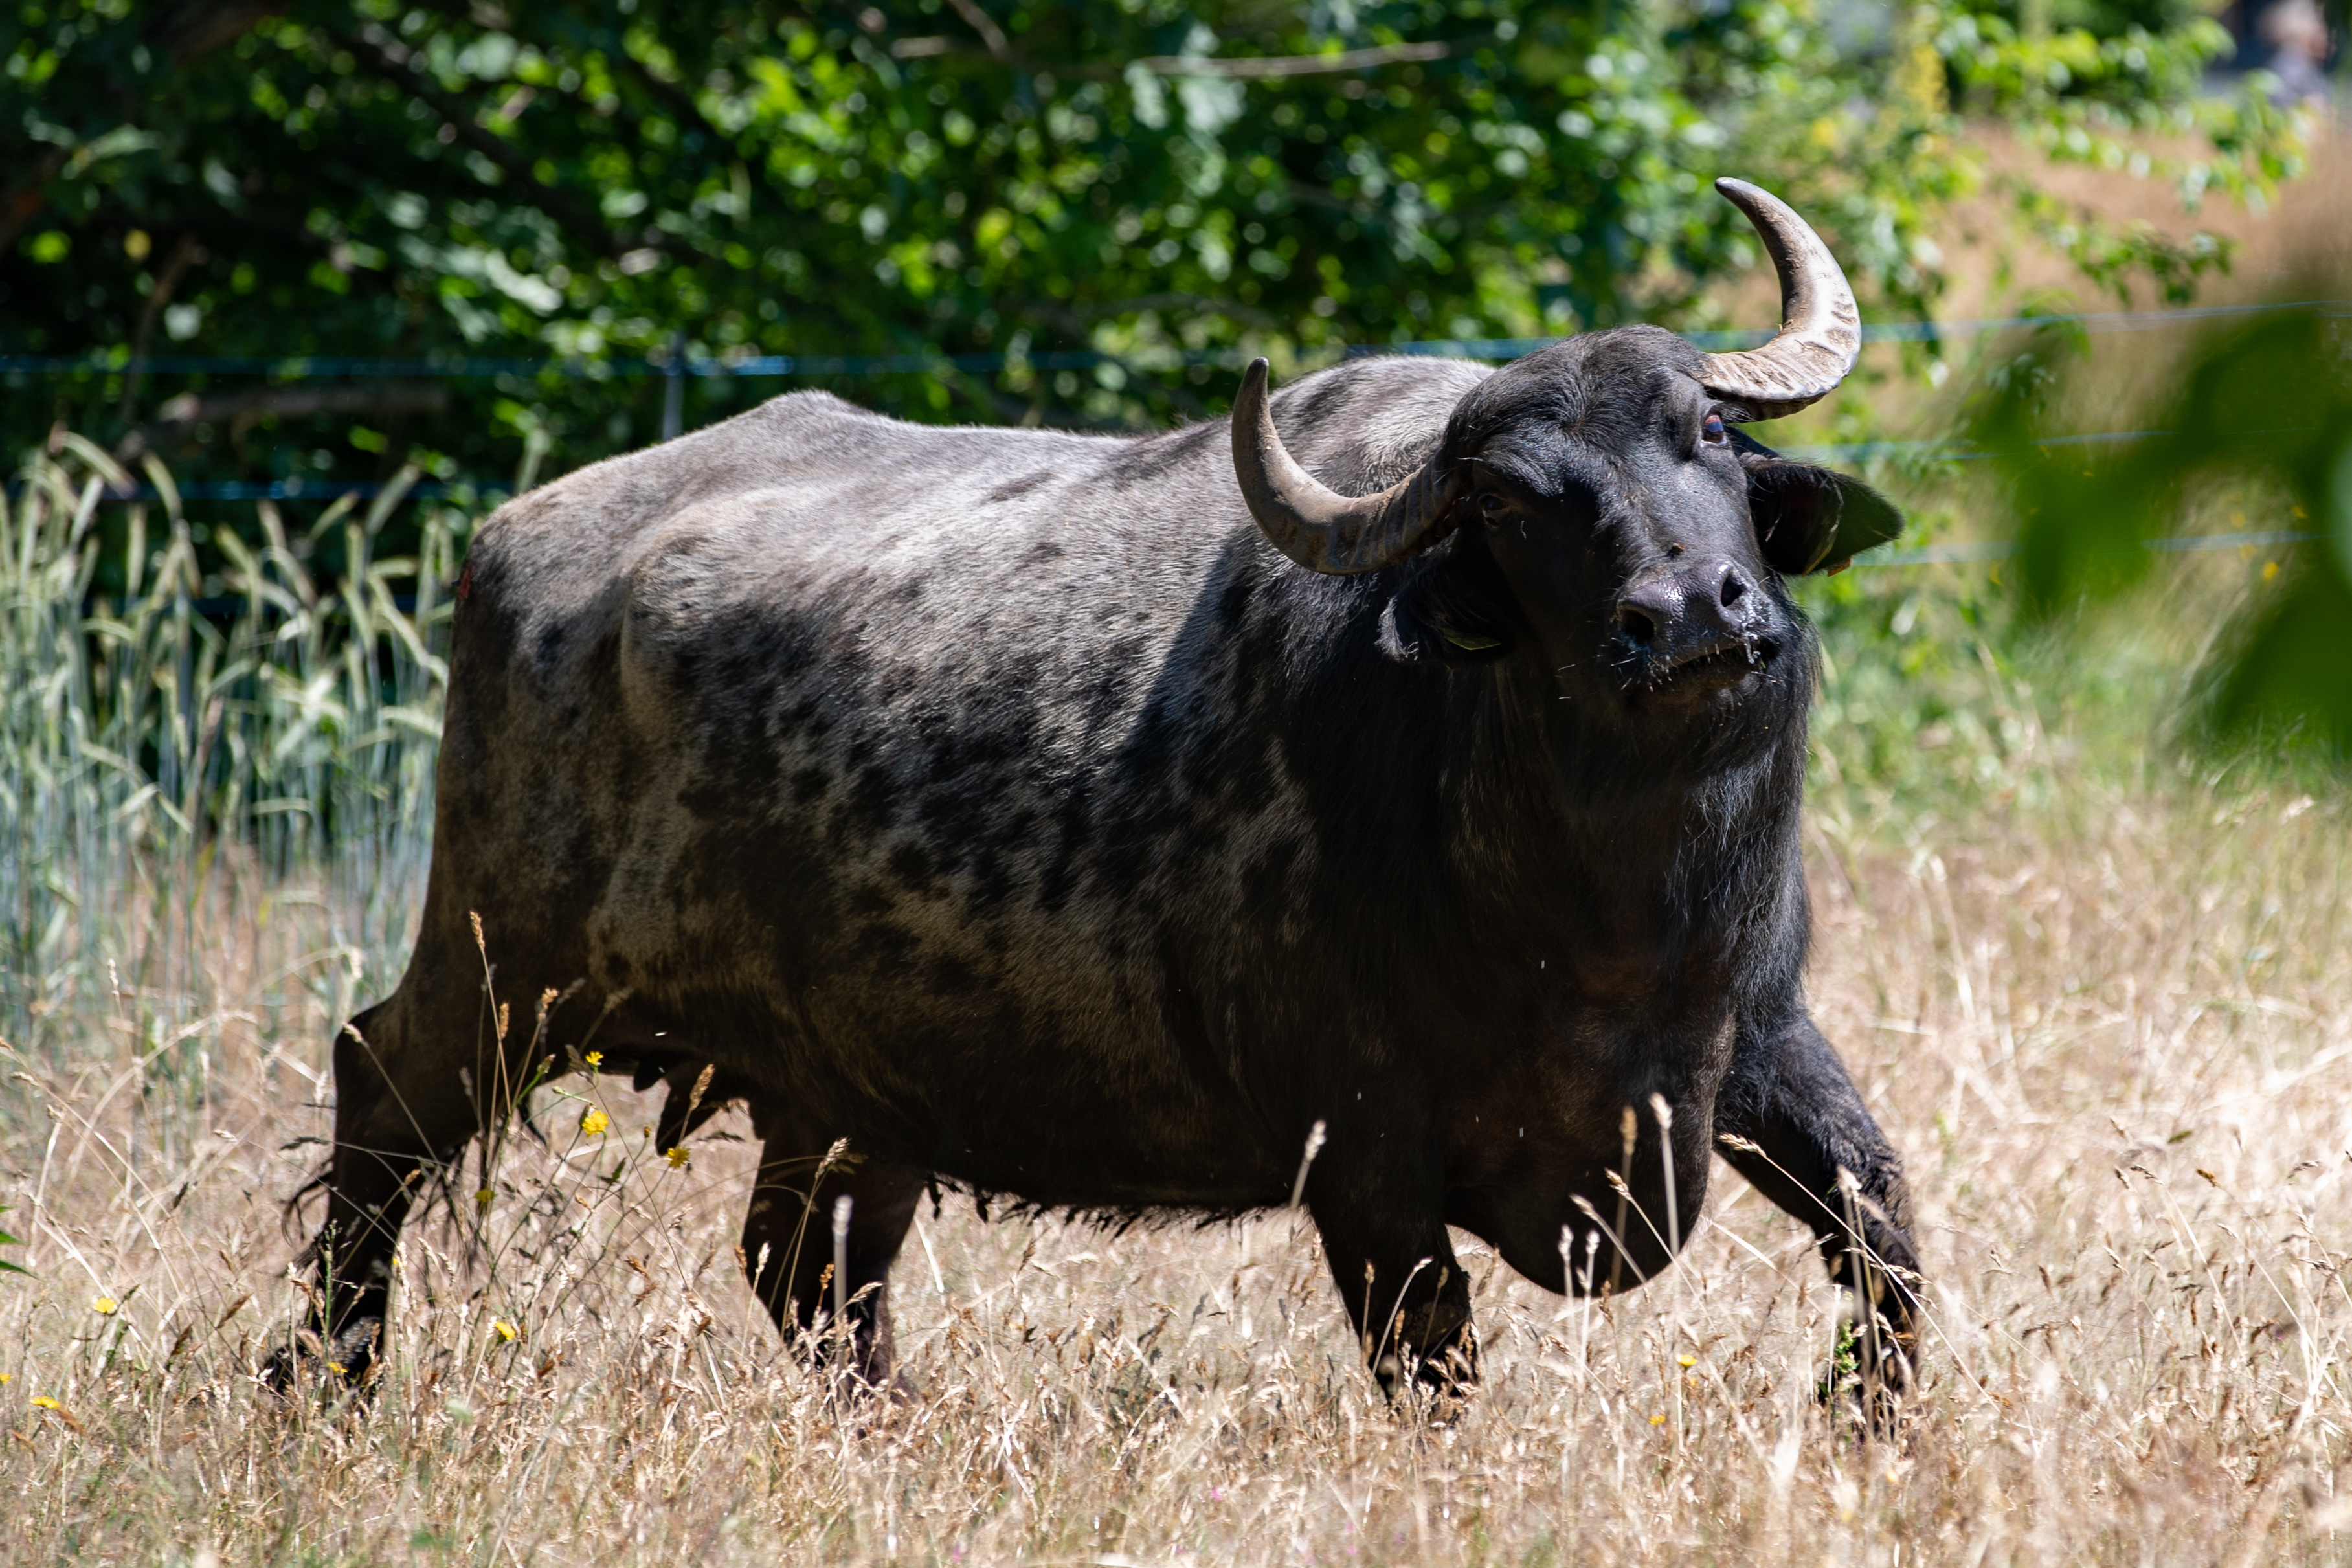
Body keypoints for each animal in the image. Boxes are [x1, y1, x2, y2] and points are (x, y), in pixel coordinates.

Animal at [284, 177, 1919, 1401]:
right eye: (1516, 509)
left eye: (1708, 434)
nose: (1688, 612)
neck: (1609, 908)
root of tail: (517, 546)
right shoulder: (1362, 1157)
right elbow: (1433, 1355)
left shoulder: (1760, 1039)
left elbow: (1884, 1227)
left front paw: (1868, 1422)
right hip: (504, 970)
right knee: (377, 1100)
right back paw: (327, 1375)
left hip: (841, 1090)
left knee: (805, 1267)